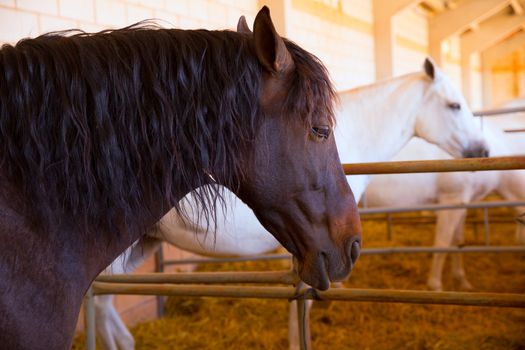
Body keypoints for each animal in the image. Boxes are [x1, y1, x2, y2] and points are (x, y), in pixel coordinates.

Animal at [364, 97, 524, 292]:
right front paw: (435, 285)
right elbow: (442, 243)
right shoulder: (451, 199)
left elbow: (458, 241)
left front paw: (461, 280)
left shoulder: (463, 202)